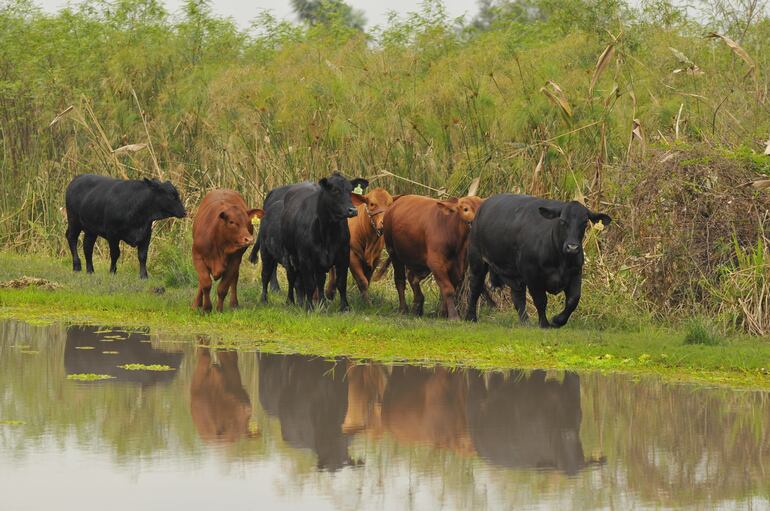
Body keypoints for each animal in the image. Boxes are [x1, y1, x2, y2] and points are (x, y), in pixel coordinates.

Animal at [280, 174, 368, 312]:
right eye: (335, 190)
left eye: (350, 190)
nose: (352, 210)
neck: (328, 231)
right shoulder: (305, 258)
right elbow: (309, 284)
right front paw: (309, 307)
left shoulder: (343, 256)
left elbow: (341, 283)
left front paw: (345, 307)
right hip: (288, 254)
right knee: (291, 277)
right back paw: (290, 301)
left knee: (320, 280)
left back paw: (322, 303)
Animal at [464, 194, 608, 330]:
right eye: (562, 221)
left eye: (585, 222)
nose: (572, 247)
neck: (560, 260)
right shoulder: (532, 275)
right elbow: (541, 300)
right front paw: (544, 324)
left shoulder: (575, 272)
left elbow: (573, 299)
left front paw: (557, 321)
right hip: (477, 260)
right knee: (475, 287)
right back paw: (470, 317)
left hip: (515, 273)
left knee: (518, 297)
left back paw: (525, 322)